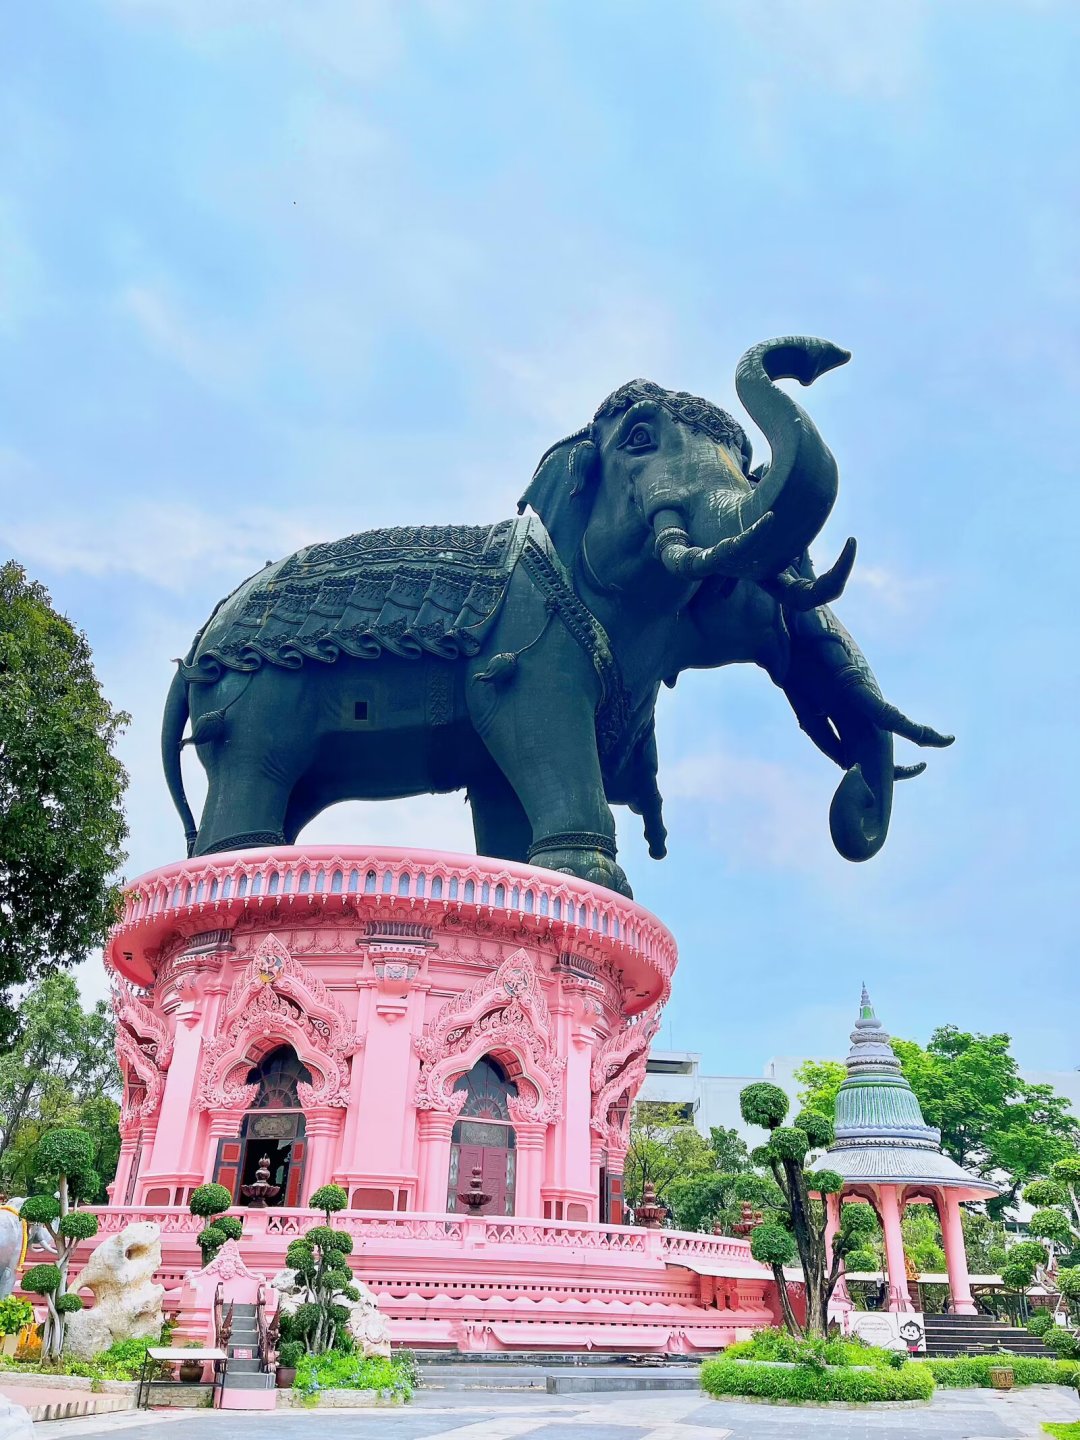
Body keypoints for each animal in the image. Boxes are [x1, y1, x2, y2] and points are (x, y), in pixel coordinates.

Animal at [164, 339, 950, 898]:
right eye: (639, 439)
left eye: (746, 459)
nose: (857, 809)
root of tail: (200, 639)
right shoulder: (529, 643)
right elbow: (532, 725)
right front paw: (596, 879)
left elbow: (501, 786)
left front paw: (531, 876)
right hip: (254, 703)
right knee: (253, 774)